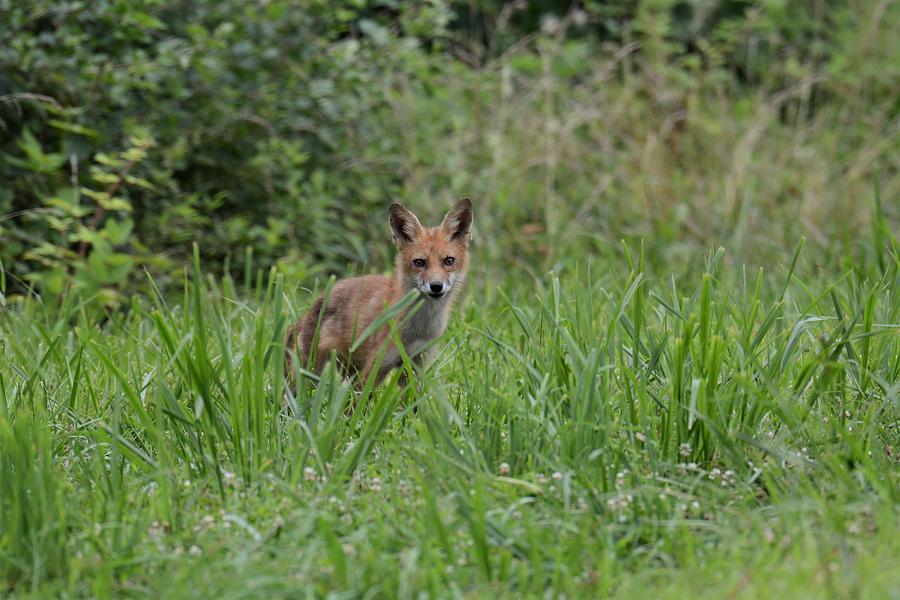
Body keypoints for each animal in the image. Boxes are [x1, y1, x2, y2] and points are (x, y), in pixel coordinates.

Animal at [288, 199, 474, 386]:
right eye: (419, 262)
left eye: (449, 261)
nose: (436, 286)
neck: (418, 329)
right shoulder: (376, 366)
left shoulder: (415, 365)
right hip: (310, 370)